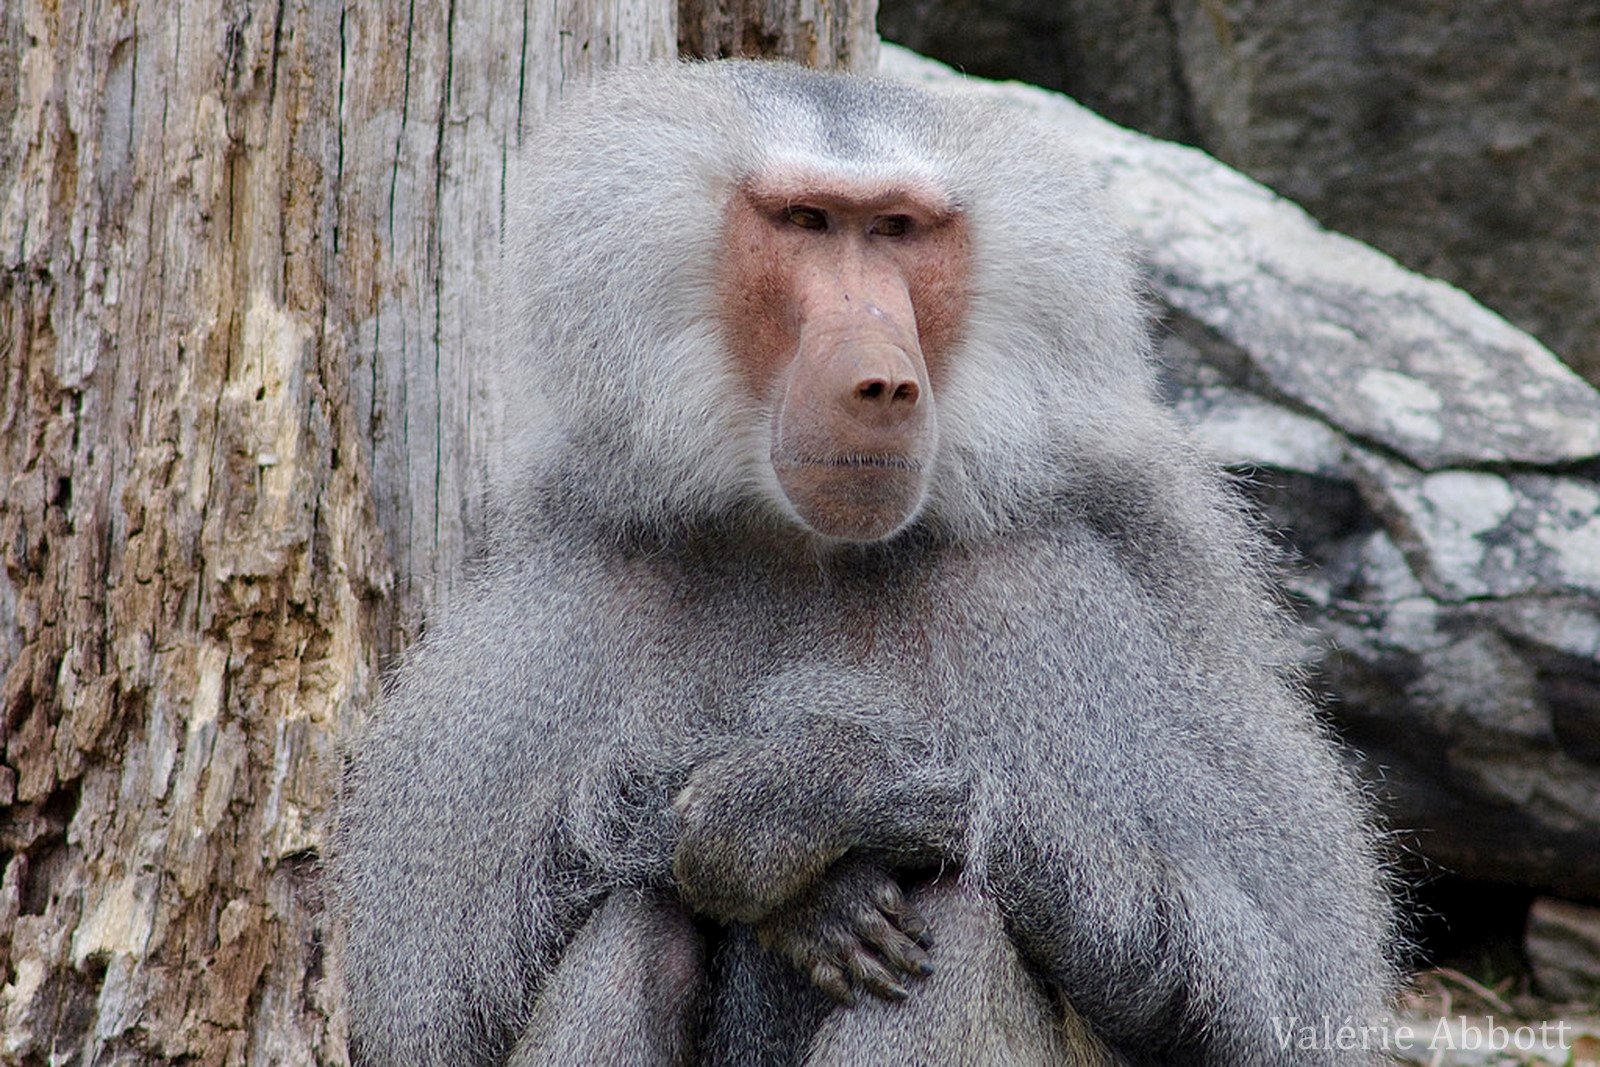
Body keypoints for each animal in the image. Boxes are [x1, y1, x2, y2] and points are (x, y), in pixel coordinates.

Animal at [331, 61, 1398, 1066]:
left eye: (895, 229)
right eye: (808, 223)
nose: (882, 382)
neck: (817, 550)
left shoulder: (1061, 591)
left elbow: (1225, 992)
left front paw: (798, 796)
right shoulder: (583, 589)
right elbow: (449, 1005)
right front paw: (802, 887)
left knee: (968, 915)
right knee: (632, 927)